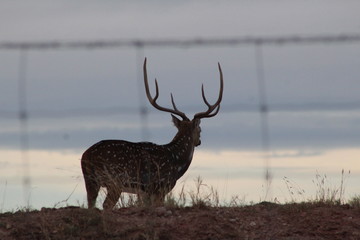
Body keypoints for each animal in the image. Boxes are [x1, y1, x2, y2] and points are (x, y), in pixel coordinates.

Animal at [81, 59, 222, 209]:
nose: (199, 141)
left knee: (91, 204)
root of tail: (86, 156)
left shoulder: (144, 192)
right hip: (114, 180)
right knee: (106, 205)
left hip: (90, 181)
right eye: (200, 129)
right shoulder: (160, 186)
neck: (176, 161)